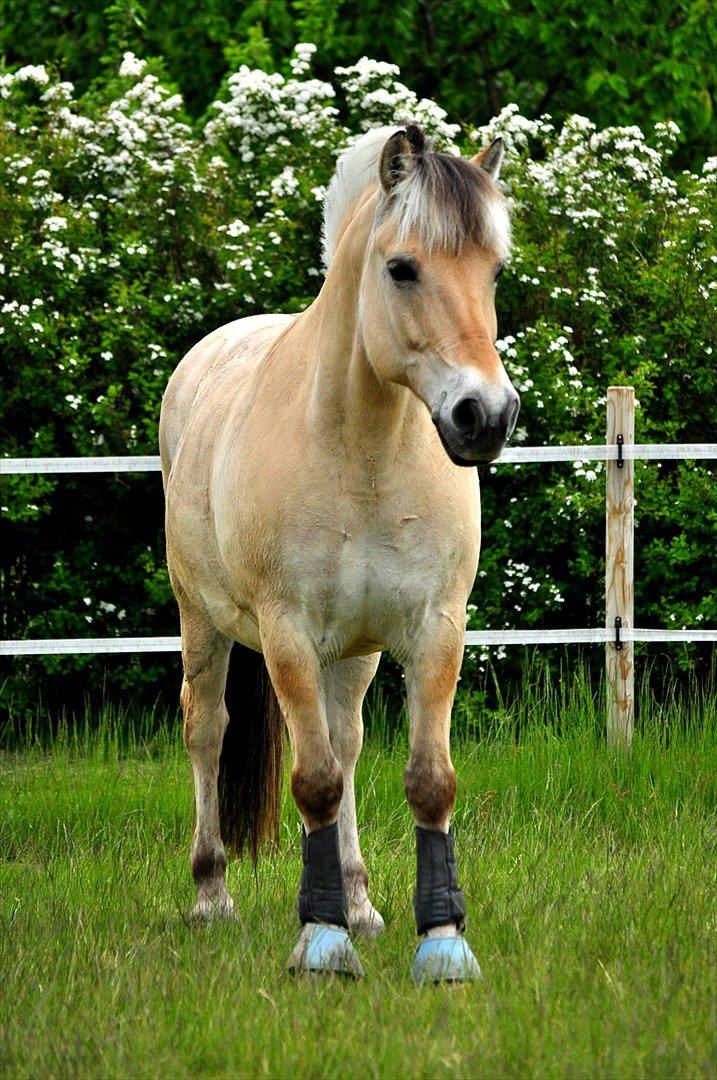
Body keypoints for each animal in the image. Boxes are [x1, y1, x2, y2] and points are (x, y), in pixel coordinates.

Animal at [159, 123, 519, 982]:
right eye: (402, 268)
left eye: (493, 269)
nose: (485, 415)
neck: (363, 453)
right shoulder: (286, 632)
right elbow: (314, 782)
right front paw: (319, 942)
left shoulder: (434, 629)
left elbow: (425, 781)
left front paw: (440, 941)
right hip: (202, 620)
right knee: (207, 730)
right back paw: (211, 895)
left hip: (350, 654)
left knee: (345, 740)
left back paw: (357, 901)